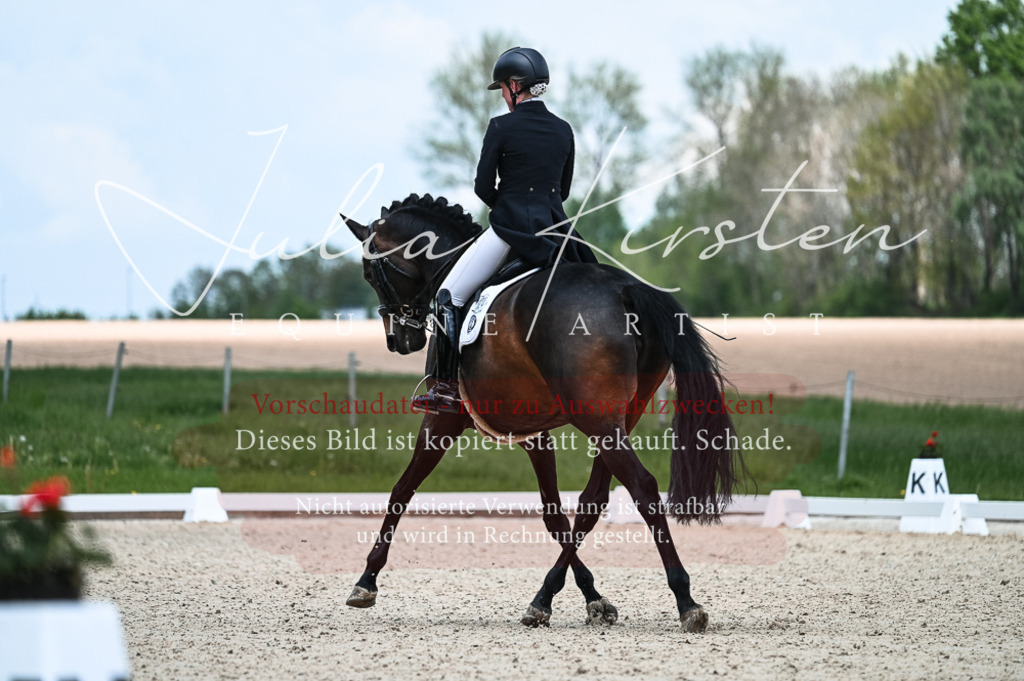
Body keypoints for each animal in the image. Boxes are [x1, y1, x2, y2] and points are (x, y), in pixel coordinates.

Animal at [341, 194, 743, 632]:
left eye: (369, 271)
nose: (399, 341)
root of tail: (625, 289)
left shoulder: (444, 418)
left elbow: (401, 490)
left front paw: (366, 580)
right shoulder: (534, 432)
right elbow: (555, 515)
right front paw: (593, 598)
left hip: (597, 419)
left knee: (643, 488)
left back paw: (684, 601)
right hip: (620, 417)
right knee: (594, 499)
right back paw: (546, 597)